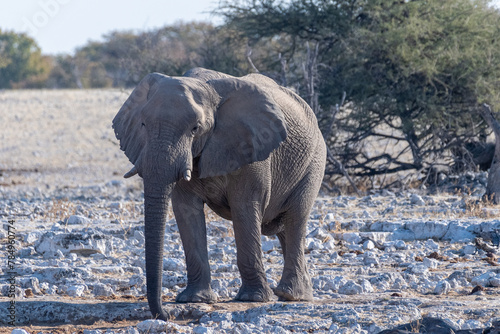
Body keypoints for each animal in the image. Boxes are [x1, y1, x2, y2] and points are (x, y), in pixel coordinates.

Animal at [111, 66, 326, 320]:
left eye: (195, 128)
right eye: (143, 124)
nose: (165, 314)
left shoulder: (251, 149)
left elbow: (245, 208)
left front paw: (252, 298)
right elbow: (186, 211)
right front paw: (194, 299)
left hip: (314, 163)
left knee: (295, 220)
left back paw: (291, 295)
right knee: (284, 228)